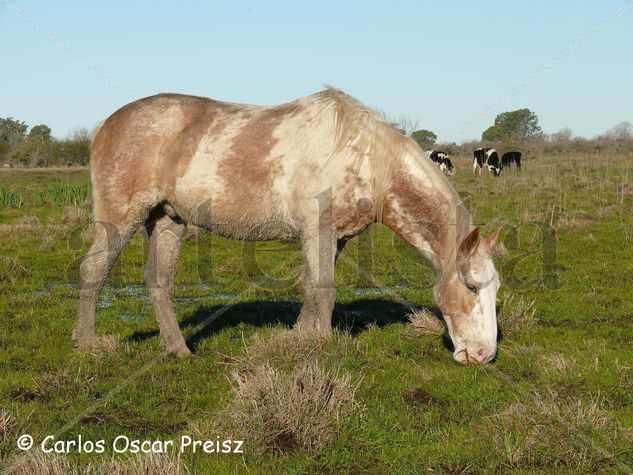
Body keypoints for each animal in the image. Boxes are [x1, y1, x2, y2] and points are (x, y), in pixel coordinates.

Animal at [74, 89, 502, 364]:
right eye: (470, 286)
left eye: (495, 288)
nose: (483, 355)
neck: (365, 156)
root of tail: (106, 125)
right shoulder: (318, 231)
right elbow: (325, 291)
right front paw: (324, 349)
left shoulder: (333, 238)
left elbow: (312, 289)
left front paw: (298, 338)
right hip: (122, 217)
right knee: (93, 270)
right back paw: (88, 346)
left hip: (167, 220)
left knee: (159, 281)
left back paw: (178, 349)